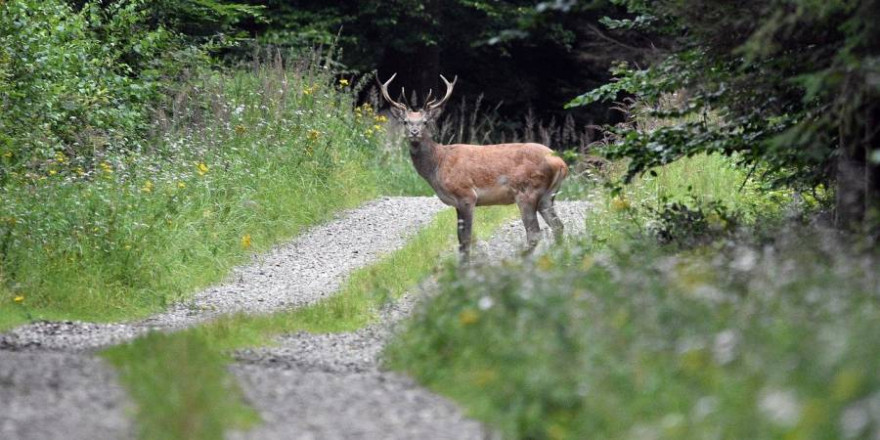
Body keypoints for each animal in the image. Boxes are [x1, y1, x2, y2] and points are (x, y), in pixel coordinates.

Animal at [378, 70, 572, 260]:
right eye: (405, 122)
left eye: (425, 122)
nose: (414, 132)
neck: (438, 165)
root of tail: (561, 163)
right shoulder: (456, 203)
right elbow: (460, 238)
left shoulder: (466, 195)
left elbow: (466, 239)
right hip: (547, 196)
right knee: (558, 226)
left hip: (528, 191)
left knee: (534, 233)